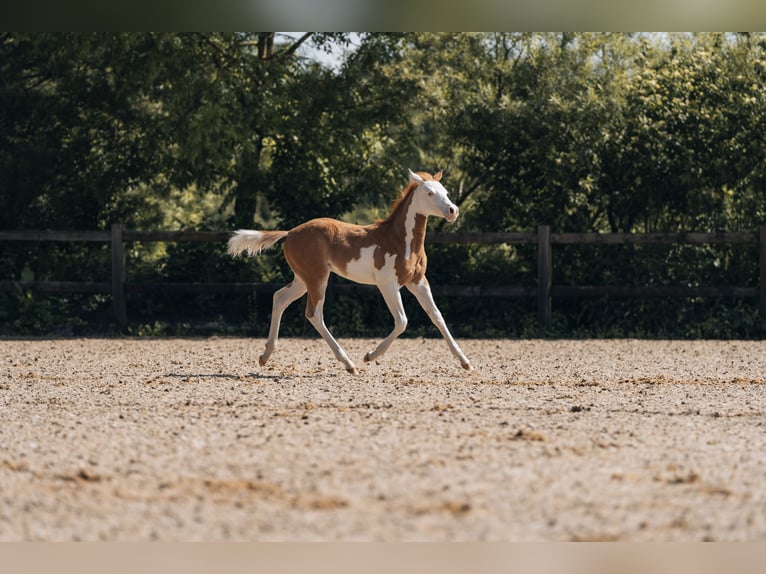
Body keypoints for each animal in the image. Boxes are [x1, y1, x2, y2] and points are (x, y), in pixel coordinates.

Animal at [225, 170, 472, 378]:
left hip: (303, 279)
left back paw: (265, 356)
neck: (400, 241)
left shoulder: (418, 282)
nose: (453, 211)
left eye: (446, 192)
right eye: (429, 192)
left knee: (279, 298)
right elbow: (402, 321)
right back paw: (349, 364)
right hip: (317, 278)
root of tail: (290, 232)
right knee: (314, 314)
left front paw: (465, 362)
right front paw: (370, 356)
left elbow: (437, 316)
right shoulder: (387, 283)